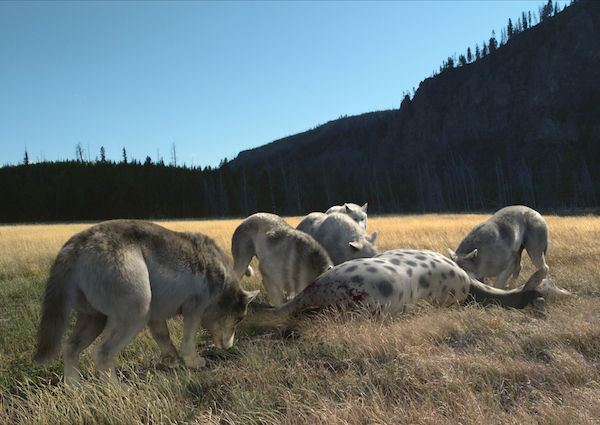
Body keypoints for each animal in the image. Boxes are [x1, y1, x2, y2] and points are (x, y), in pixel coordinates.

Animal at [33, 220, 258, 382]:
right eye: (239, 319)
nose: (229, 347)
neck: (221, 278)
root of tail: (73, 246)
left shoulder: (155, 316)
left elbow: (164, 338)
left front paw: (172, 362)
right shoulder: (194, 309)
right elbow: (188, 341)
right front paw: (193, 362)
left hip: (94, 318)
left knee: (69, 348)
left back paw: (75, 388)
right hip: (135, 312)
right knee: (101, 353)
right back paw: (117, 390)